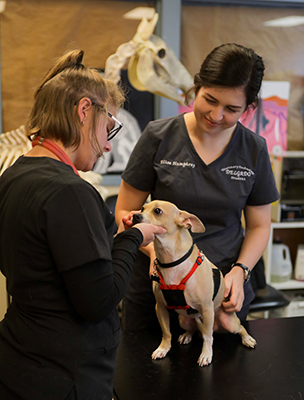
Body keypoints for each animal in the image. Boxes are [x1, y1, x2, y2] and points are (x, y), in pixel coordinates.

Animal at [132, 202, 256, 368]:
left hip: (229, 323)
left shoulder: (207, 308)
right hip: (183, 320)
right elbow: (167, 332)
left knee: (237, 328)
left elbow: (208, 337)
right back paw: (187, 335)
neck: (171, 261)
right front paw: (163, 348)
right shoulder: (160, 307)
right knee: (195, 330)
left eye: (157, 211)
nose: (135, 216)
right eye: (142, 209)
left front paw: (206, 354)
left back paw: (247, 338)